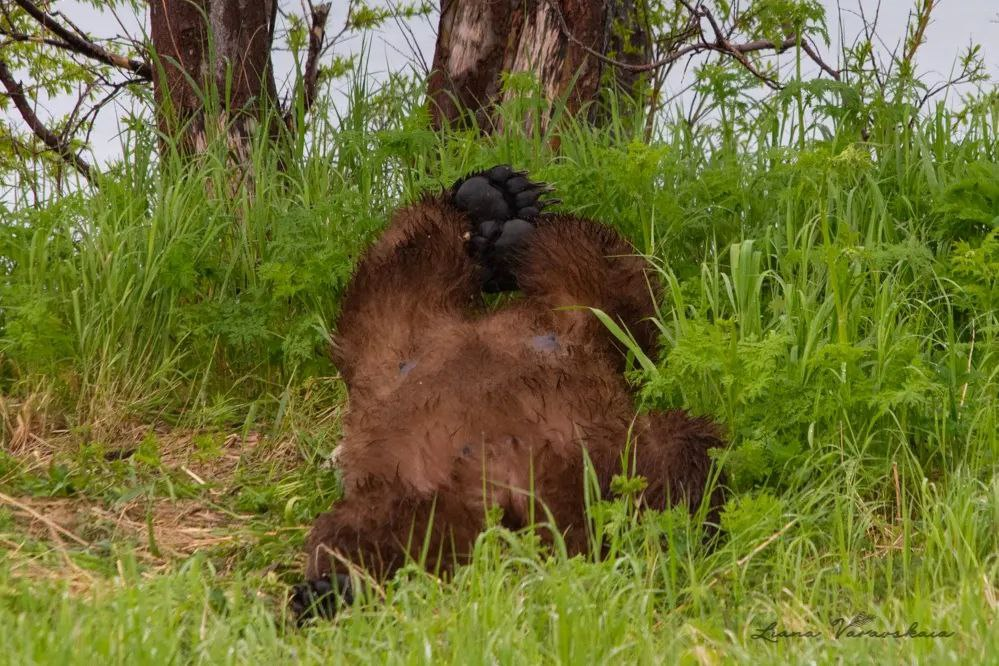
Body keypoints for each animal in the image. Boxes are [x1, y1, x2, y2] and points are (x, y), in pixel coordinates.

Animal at [292, 165, 728, 616]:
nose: (491, 239)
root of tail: (511, 496)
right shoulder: (392, 342)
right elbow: (397, 264)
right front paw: (495, 200)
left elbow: (628, 296)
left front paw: (502, 211)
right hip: (411, 491)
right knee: (378, 532)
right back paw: (332, 587)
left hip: (606, 451)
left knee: (673, 453)